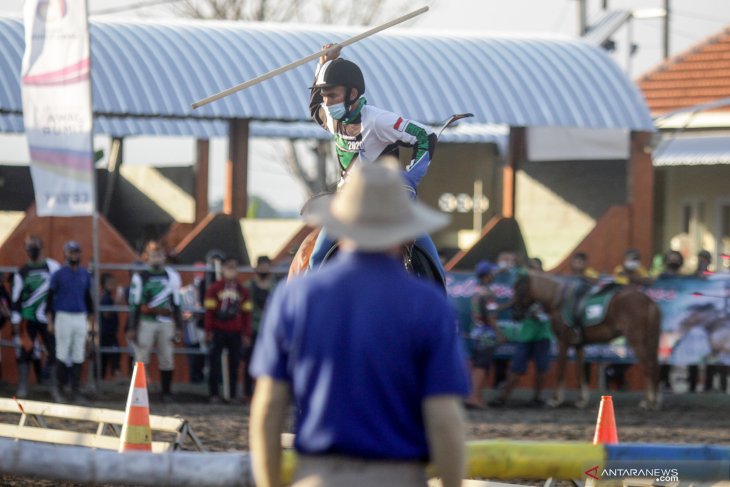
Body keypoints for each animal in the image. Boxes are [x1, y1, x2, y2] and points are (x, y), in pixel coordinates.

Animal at [512, 272, 660, 410]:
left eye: (519, 288)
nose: (516, 314)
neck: (558, 300)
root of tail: (648, 300)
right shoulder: (579, 345)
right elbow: (580, 372)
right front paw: (581, 400)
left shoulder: (563, 342)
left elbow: (561, 370)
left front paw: (555, 399)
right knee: (652, 365)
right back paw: (653, 400)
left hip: (636, 340)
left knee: (647, 366)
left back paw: (648, 401)